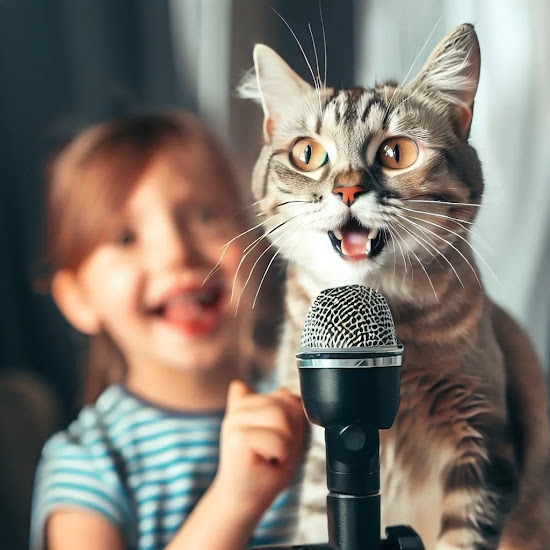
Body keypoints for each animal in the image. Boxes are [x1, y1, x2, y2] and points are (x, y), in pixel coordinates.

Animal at [240, 22, 550, 550]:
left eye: (396, 153)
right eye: (307, 154)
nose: (346, 189)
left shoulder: (483, 444)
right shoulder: (320, 452)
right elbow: (317, 517)